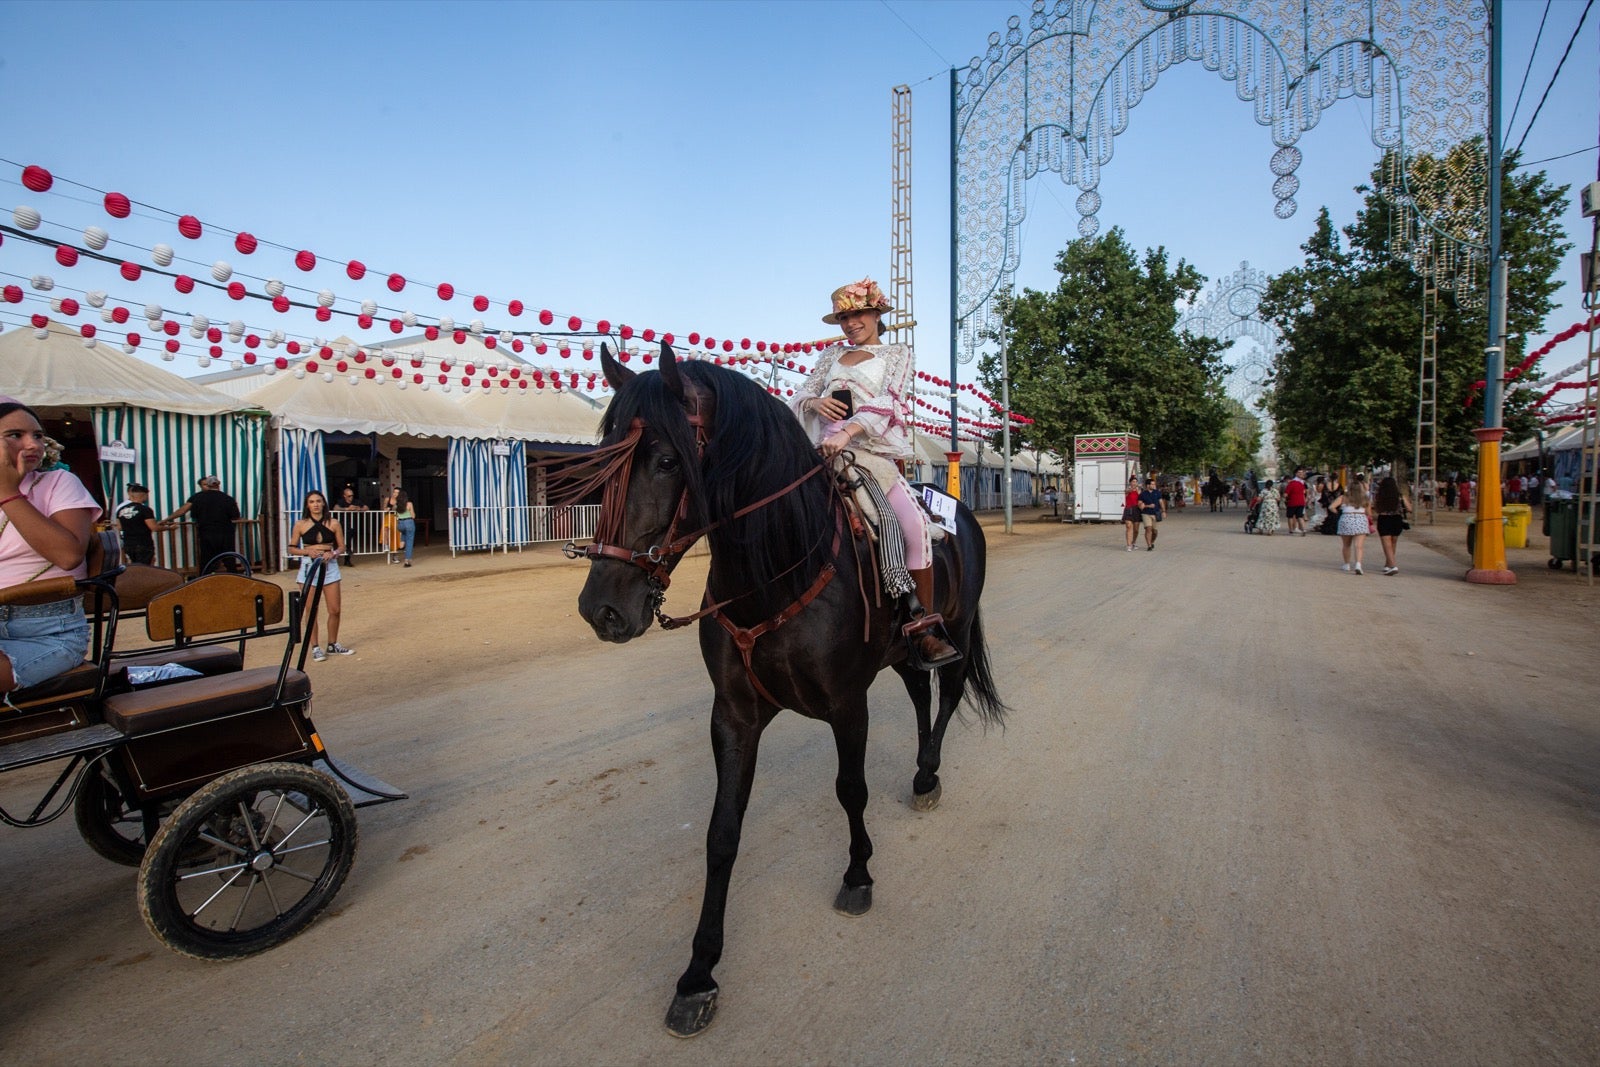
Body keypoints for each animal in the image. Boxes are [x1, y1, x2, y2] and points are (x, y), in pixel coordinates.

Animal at [572, 342, 998, 1036]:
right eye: (605, 455)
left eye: (667, 460)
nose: (602, 609)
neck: (778, 570)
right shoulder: (734, 715)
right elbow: (721, 834)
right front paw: (698, 975)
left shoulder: (848, 705)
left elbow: (850, 791)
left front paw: (858, 875)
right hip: (904, 655)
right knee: (919, 695)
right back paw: (920, 772)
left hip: (955, 632)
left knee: (948, 696)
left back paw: (929, 776)